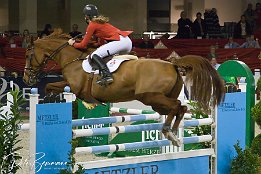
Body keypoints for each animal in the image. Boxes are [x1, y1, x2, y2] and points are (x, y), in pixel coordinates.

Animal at [22, 29, 223, 145]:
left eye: (28, 55)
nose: (26, 78)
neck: (72, 58)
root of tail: (172, 64)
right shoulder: (69, 85)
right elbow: (52, 86)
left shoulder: (76, 88)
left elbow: (49, 87)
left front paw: (47, 100)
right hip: (157, 102)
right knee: (180, 108)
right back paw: (173, 134)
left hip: (150, 97)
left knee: (177, 106)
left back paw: (169, 132)